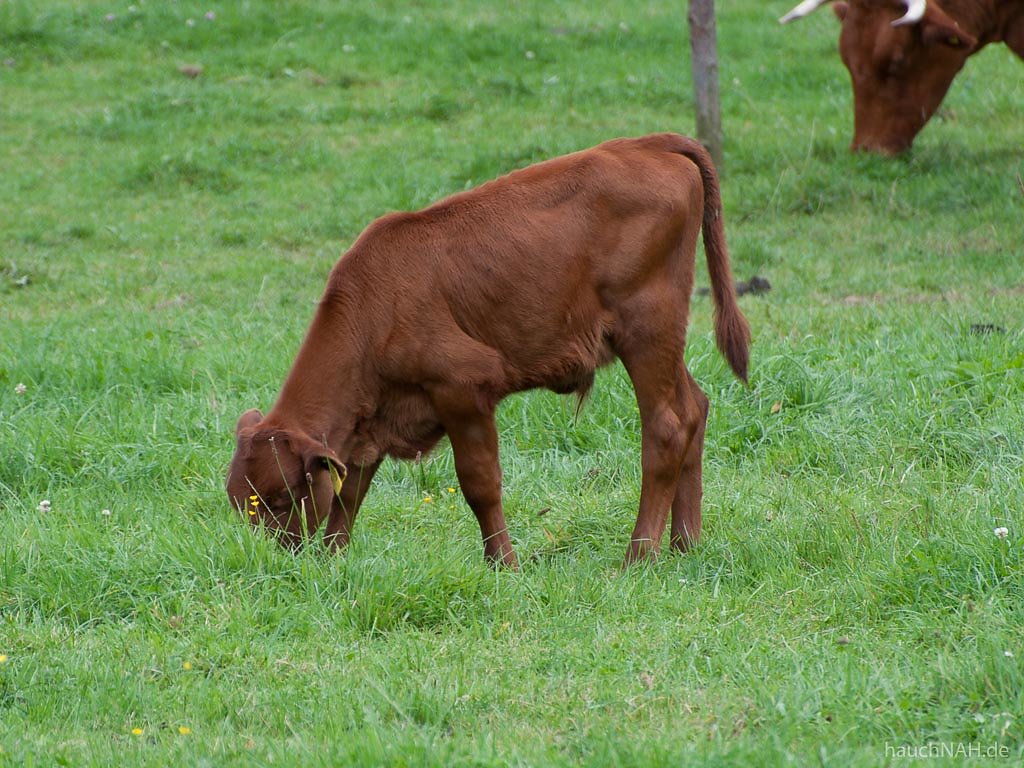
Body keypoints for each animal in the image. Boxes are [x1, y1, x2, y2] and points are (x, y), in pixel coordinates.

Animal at [226, 132, 753, 569]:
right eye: (237, 501)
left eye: (279, 498)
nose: (271, 563)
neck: (375, 306)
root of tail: (648, 144)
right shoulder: (371, 418)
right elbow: (350, 491)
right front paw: (333, 559)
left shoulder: (463, 386)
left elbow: (479, 483)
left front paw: (504, 565)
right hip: (663, 341)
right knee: (695, 407)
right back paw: (685, 545)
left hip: (646, 329)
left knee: (667, 426)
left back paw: (638, 558)